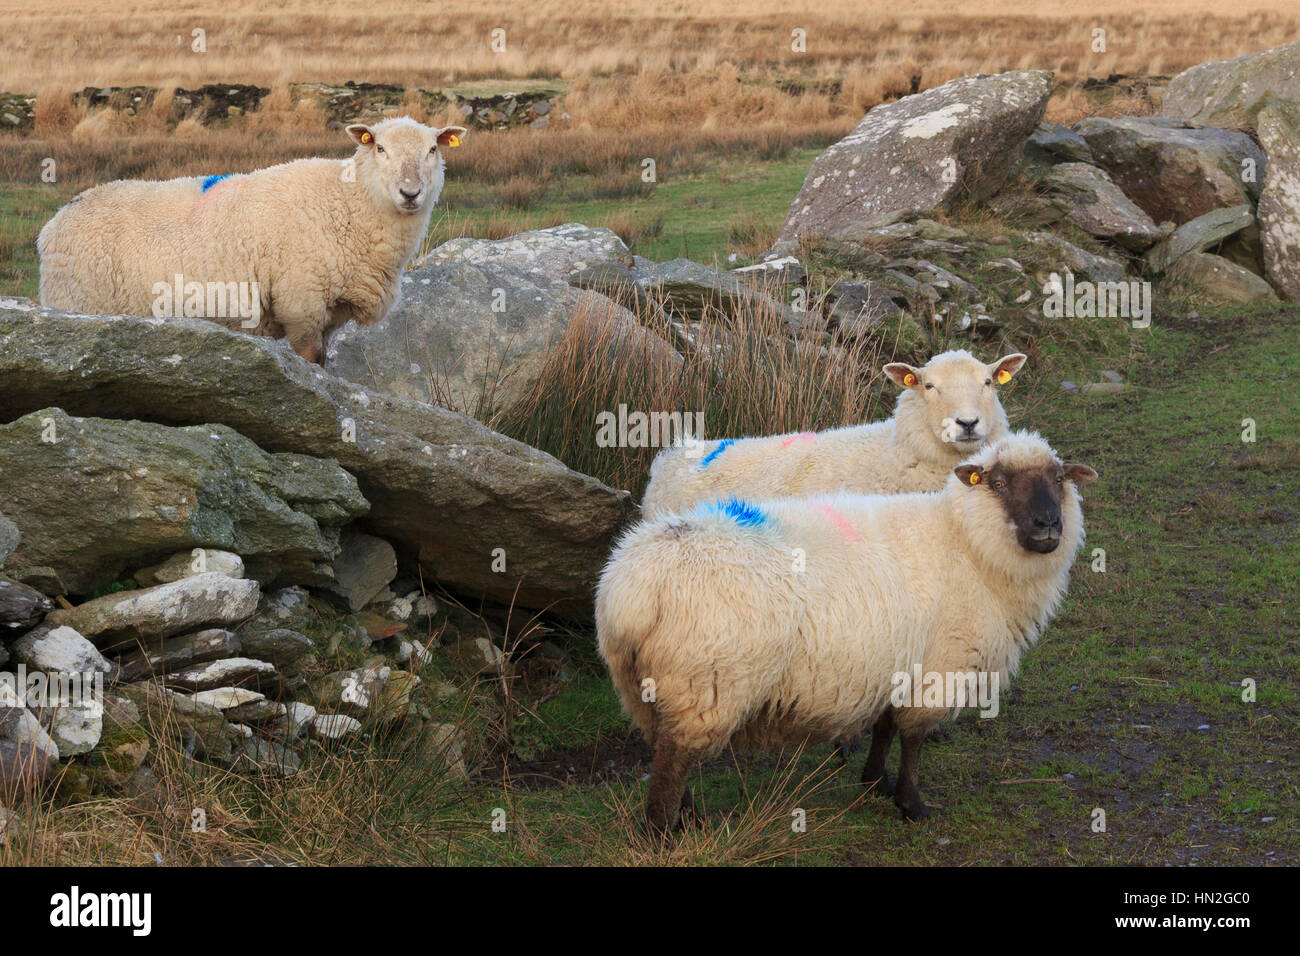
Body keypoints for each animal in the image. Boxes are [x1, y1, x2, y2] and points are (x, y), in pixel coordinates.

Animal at [35, 115, 467, 361]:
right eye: (379, 148)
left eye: (432, 149)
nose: (410, 193)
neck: (347, 200)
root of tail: (55, 222)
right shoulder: (300, 301)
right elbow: (312, 360)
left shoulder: (329, 311)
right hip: (78, 303)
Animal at [598, 429, 1097, 832]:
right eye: (997, 484)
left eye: (1059, 479)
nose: (1048, 525)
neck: (966, 543)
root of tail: (628, 590)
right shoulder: (940, 667)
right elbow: (913, 739)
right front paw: (912, 804)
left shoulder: (896, 661)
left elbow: (885, 726)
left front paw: (875, 781)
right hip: (705, 684)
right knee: (672, 763)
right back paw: (665, 832)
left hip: (644, 689)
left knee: (667, 752)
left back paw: (689, 818)